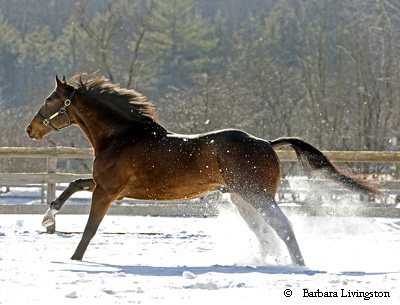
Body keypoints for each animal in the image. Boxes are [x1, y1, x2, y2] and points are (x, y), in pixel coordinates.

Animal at [25, 73, 382, 264]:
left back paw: (299, 265)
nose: (30, 129)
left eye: (49, 100)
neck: (122, 136)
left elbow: (90, 228)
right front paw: (47, 217)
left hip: (257, 195)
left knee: (283, 227)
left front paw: (74, 259)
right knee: (266, 233)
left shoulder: (108, 191)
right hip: (242, 199)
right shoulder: (110, 188)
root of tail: (268, 143)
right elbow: (72, 184)